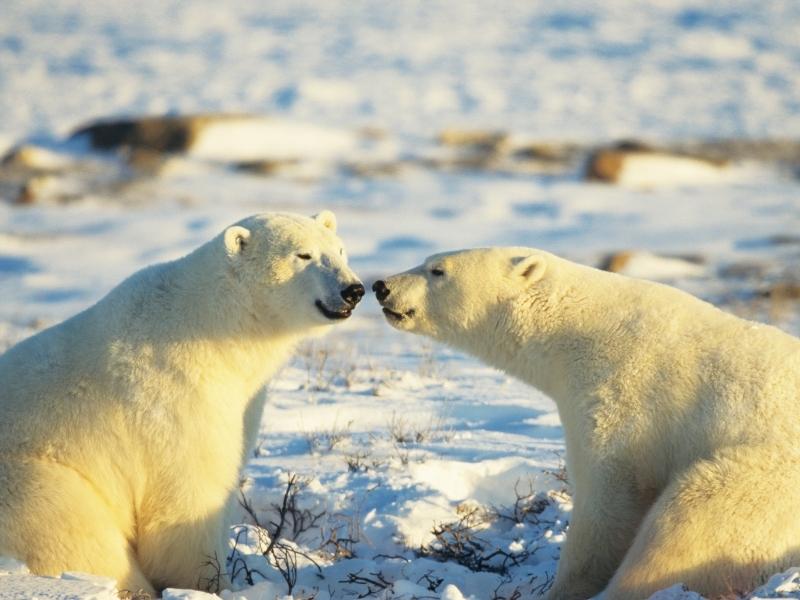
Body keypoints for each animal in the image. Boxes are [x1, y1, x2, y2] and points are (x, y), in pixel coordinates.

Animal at [0, 211, 362, 596]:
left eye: (340, 250)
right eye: (303, 255)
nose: (353, 290)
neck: (214, 323)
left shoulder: (244, 397)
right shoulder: (176, 394)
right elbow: (189, 492)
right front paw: (212, 584)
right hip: (34, 484)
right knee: (78, 536)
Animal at [372, 247, 800, 600]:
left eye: (437, 270)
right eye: (428, 261)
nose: (381, 286)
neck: (578, 328)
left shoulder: (622, 392)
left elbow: (609, 498)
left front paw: (565, 588)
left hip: (765, 479)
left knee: (691, 522)